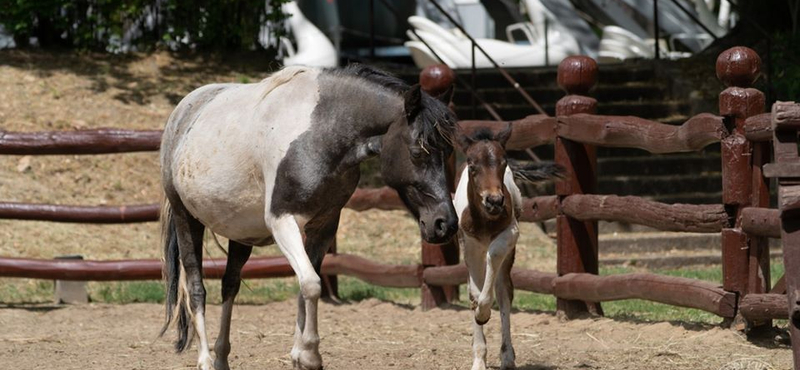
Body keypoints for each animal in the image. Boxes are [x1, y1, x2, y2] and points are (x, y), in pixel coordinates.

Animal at [159, 66, 456, 370]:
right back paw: (205, 360)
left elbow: (306, 284)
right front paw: (310, 354)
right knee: (196, 287)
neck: (322, 134)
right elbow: (312, 284)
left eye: (449, 152)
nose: (444, 224)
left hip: (241, 234)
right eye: (418, 152)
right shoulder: (283, 222)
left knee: (229, 285)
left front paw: (299, 354)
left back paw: (221, 358)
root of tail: (182, 112)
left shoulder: (323, 227)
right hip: (186, 220)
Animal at [456, 125, 564, 370]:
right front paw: (479, 358)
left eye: (503, 162)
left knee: (504, 291)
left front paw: (483, 313)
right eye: (472, 165)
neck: (484, 219)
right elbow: (474, 292)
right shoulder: (468, 244)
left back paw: (507, 357)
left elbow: (494, 257)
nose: (494, 201)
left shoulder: (511, 232)